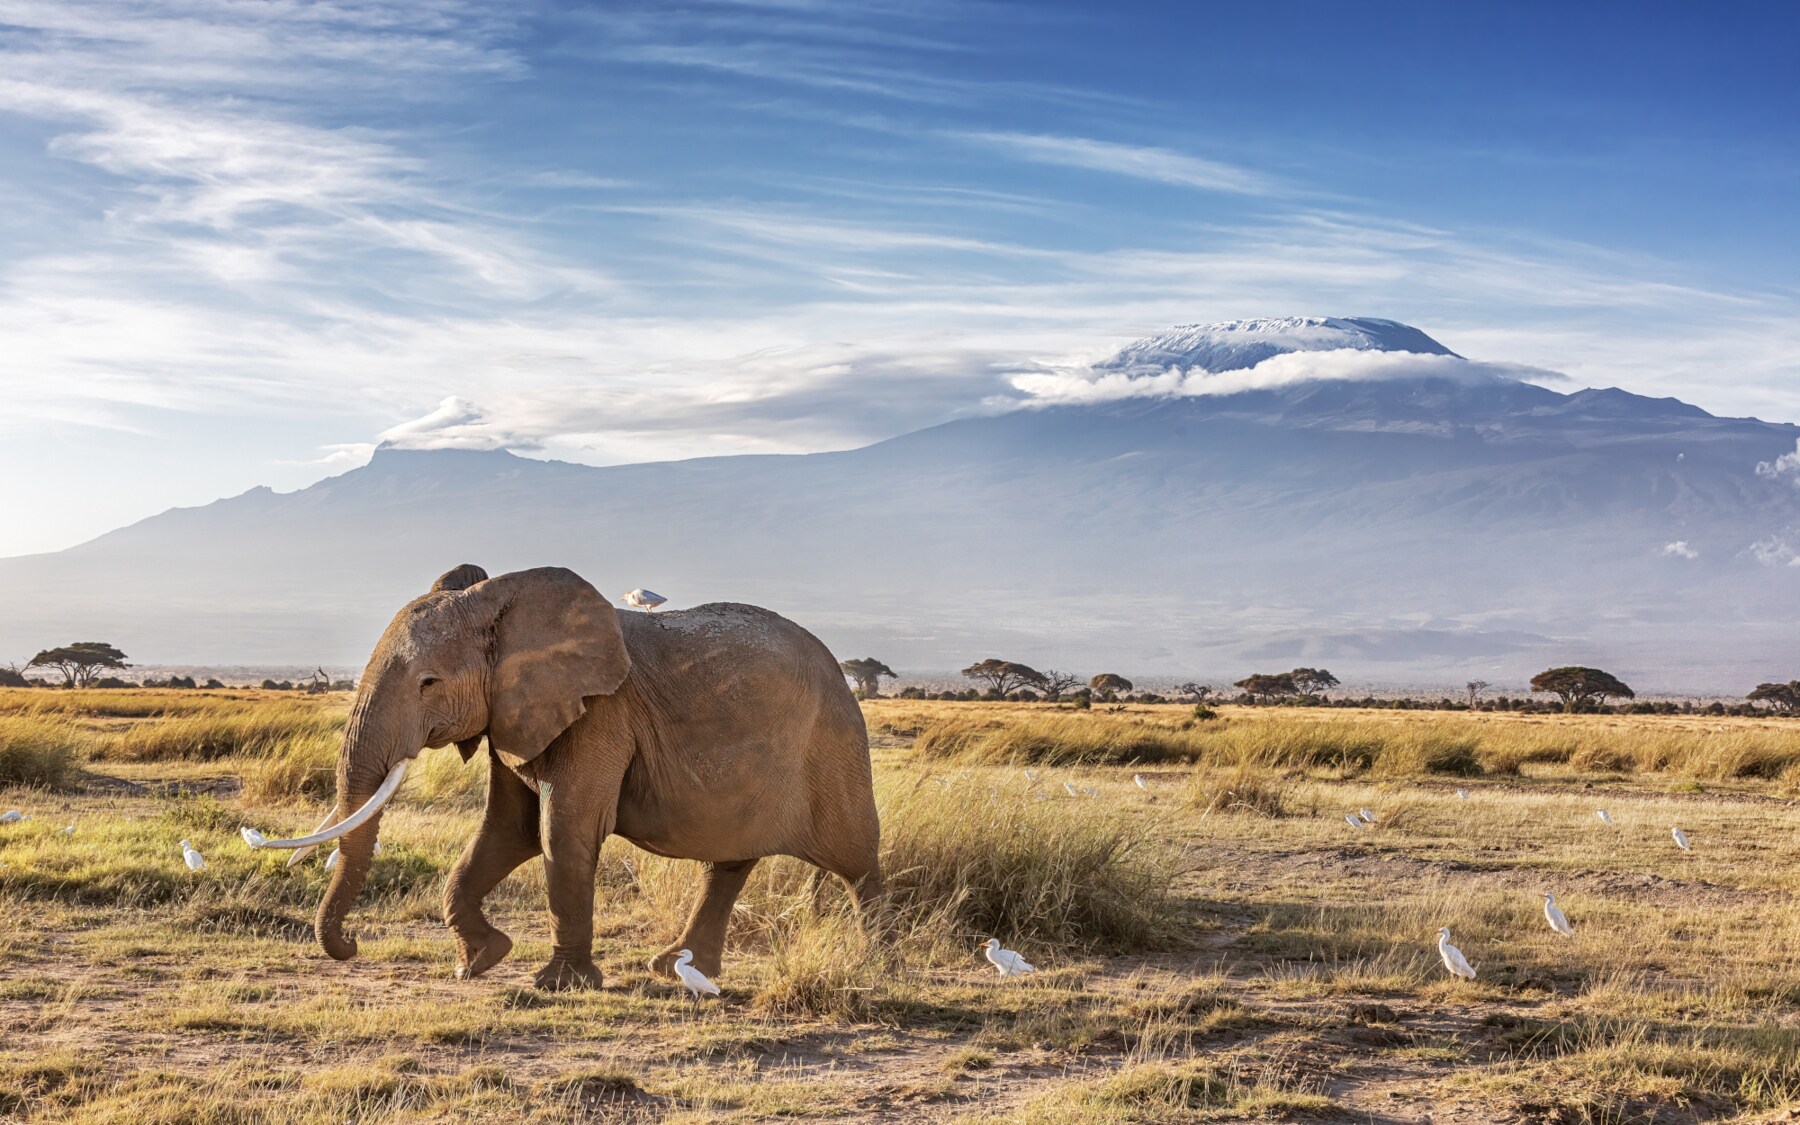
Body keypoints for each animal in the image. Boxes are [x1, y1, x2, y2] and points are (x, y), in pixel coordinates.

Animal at [253, 564, 883, 990]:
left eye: (428, 683)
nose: (351, 943)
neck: (501, 603)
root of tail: (841, 671)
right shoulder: (514, 714)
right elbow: (507, 831)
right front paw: (478, 961)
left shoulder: (600, 714)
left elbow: (563, 830)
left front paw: (558, 985)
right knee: (727, 863)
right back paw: (674, 968)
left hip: (834, 745)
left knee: (856, 861)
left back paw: (876, 961)